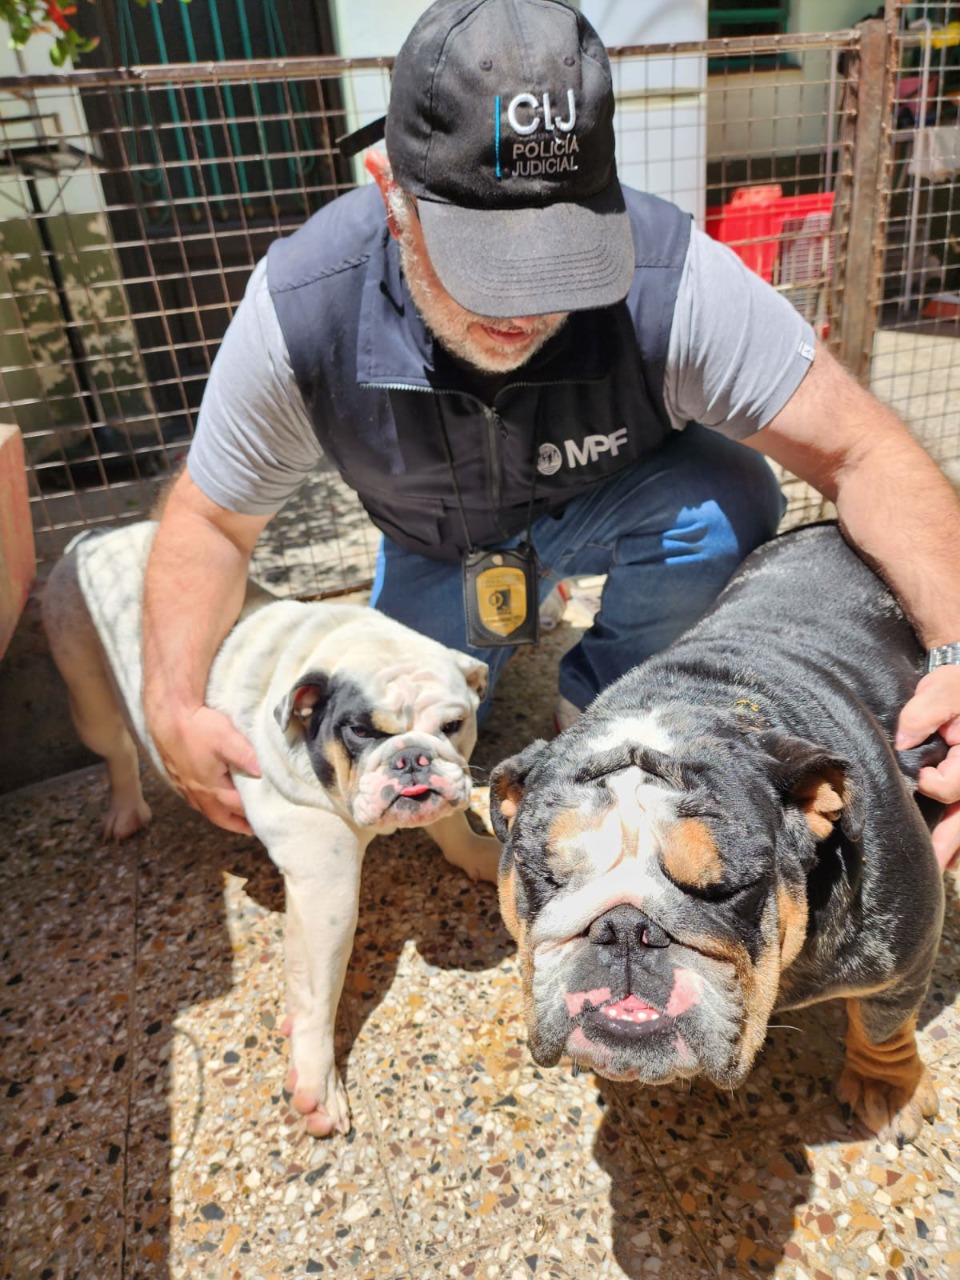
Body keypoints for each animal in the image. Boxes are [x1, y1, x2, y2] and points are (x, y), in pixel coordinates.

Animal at [42, 521, 500, 1138]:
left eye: (454, 725)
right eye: (359, 731)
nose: (412, 758)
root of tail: (89, 539)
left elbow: (450, 823)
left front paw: (479, 852)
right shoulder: (326, 885)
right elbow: (317, 990)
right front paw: (317, 1081)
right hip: (87, 690)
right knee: (115, 750)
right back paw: (125, 810)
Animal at [489, 523, 946, 1145]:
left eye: (727, 889)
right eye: (543, 874)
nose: (625, 928)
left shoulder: (904, 957)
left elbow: (883, 1022)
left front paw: (887, 1088)